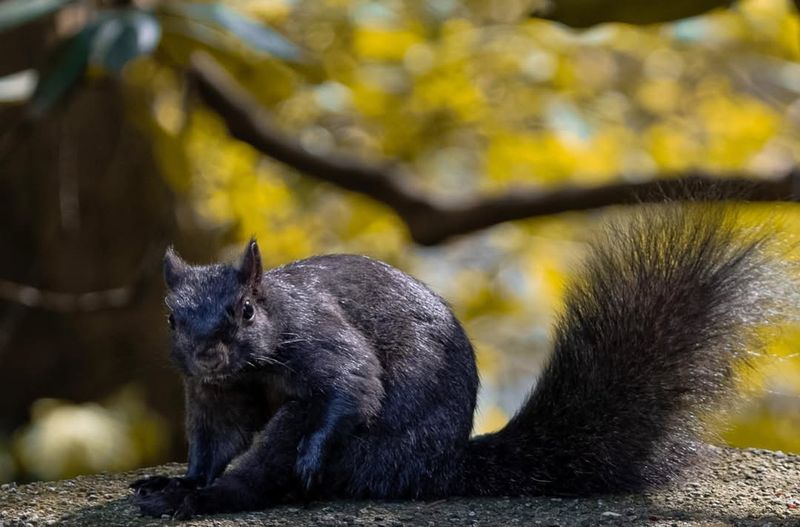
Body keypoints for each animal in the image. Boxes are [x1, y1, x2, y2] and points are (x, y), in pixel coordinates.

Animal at [134, 202, 796, 520]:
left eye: (246, 311)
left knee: (275, 459)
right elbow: (214, 442)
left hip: (370, 455)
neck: (249, 366)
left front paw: (309, 454)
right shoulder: (213, 395)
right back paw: (179, 492)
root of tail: (438, 467)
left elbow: (353, 384)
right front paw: (188, 475)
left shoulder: (323, 337)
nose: (207, 353)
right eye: (170, 318)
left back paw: (213, 499)